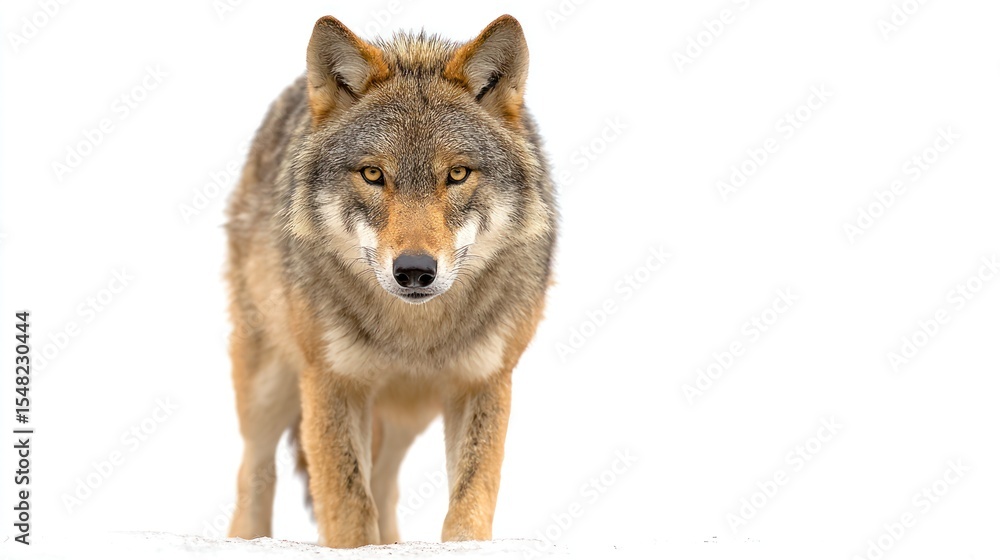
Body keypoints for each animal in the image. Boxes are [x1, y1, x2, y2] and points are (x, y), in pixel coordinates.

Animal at [224, 14, 556, 548]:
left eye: (457, 174)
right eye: (373, 174)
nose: (415, 270)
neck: (412, 334)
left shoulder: (484, 379)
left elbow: (471, 498)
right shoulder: (332, 381)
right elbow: (348, 506)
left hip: (406, 415)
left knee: (385, 481)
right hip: (268, 384)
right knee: (254, 470)